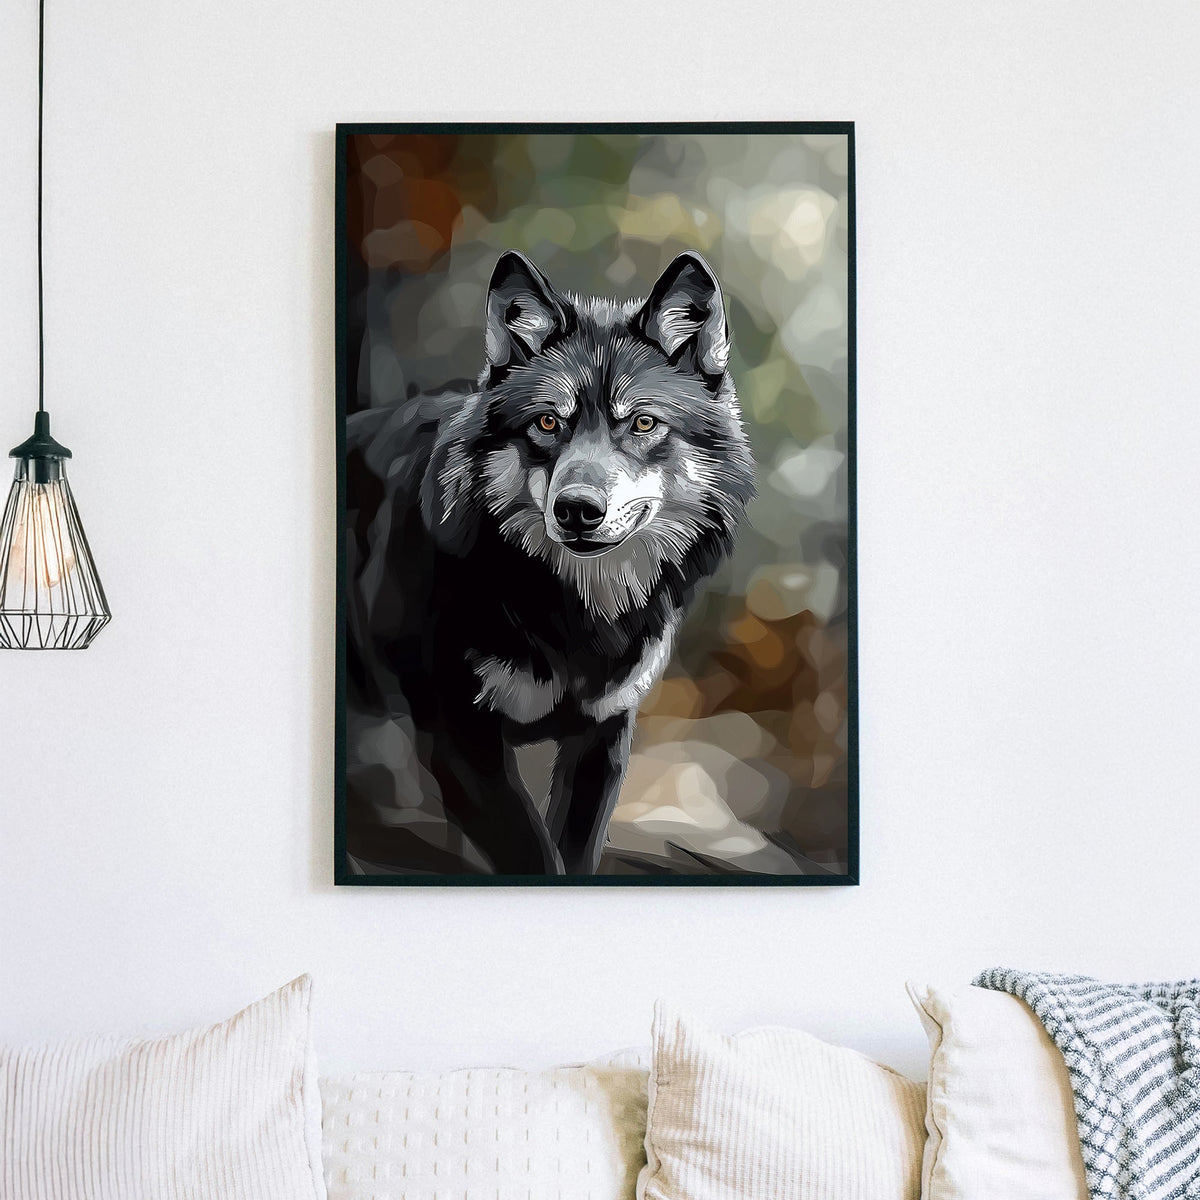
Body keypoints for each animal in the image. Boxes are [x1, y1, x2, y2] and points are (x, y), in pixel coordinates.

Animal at [345, 249, 755, 876]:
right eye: (547, 423)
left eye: (642, 423)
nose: (577, 509)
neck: (573, 615)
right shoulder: (458, 740)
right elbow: (534, 855)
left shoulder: (603, 734)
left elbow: (576, 852)